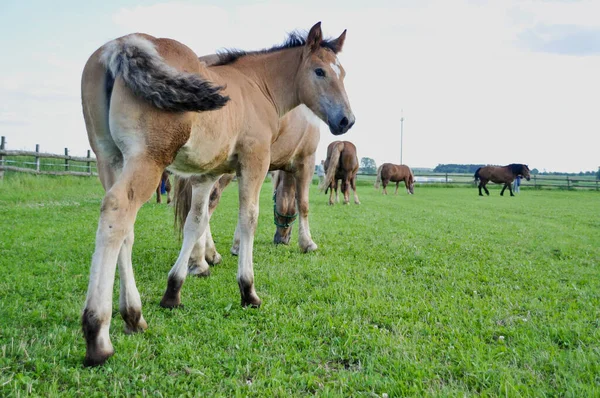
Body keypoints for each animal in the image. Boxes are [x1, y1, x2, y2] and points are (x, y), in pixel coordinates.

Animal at [172, 104, 324, 276]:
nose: (281, 240)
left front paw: (237, 246)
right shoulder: (306, 161)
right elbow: (304, 205)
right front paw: (307, 243)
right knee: (208, 202)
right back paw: (204, 258)